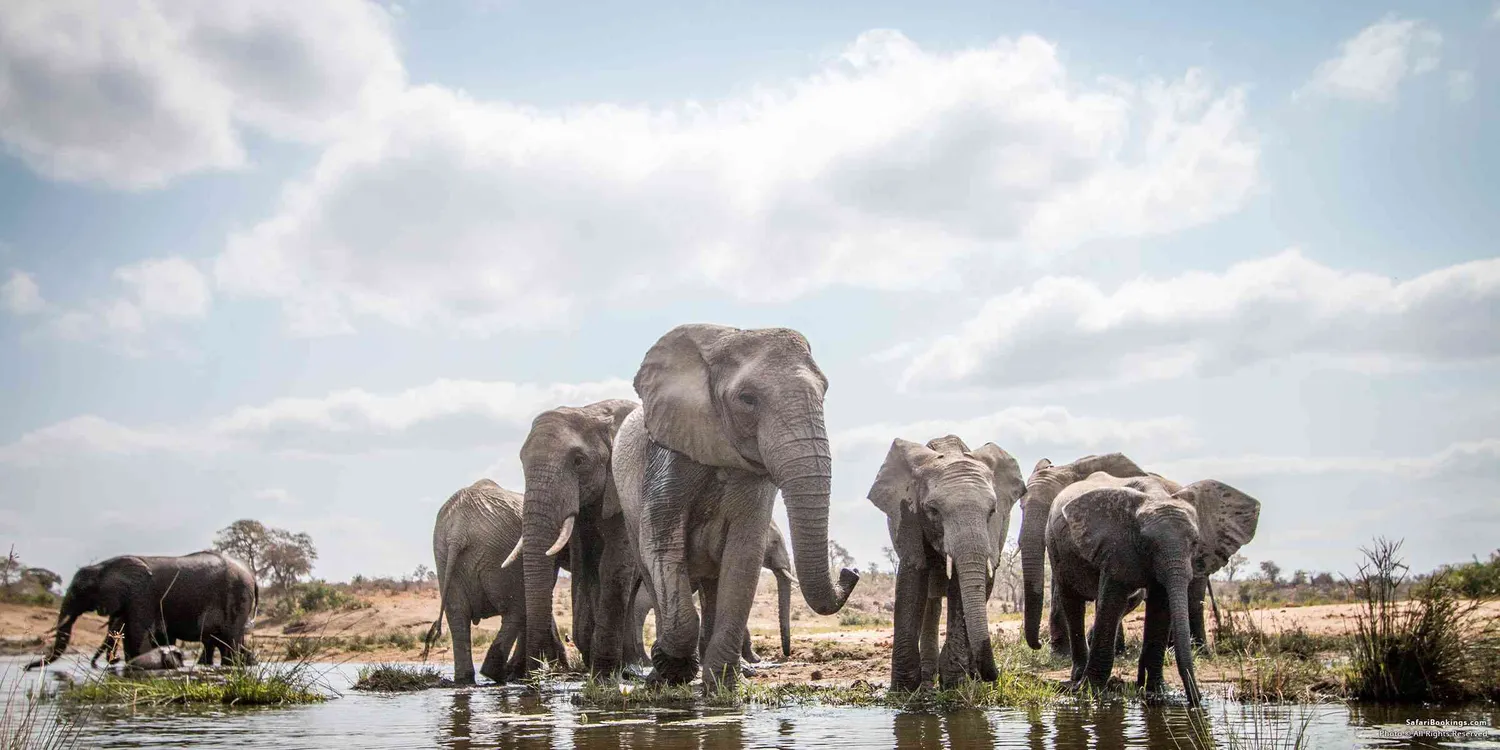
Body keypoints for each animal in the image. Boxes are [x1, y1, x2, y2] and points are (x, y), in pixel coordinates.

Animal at [26, 550, 257, 670]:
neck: (104, 567)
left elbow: (138, 635)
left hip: (237, 596)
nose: (27, 668)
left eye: (76, 592)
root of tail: (251, 576)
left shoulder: (141, 595)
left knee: (229, 641)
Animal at [422, 478, 558, 685]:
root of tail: (458, 529)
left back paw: (466, 679)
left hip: (443, 556)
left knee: (457, 615)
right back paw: (498, 675)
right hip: (499, 555)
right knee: (515, 609)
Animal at [502, 399, 640, 677]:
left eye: (578, 461)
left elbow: (613, 565)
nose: (535, 675)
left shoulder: (623, 488)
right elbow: (584, 566)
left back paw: (631, 667)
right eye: (521, 461)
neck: (594, 412)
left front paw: (604, 672)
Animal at [867, 435, 1025, 691]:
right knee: (931, 602)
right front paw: (902, 690)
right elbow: (912, 581)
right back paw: (928, 679)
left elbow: (963, 588)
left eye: (992, 511)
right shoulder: (908, 517)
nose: (995, 675)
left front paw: (955, 683)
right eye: (933, 511)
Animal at [1047, 471, 1260, 706]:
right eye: (1147, 543)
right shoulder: (1117, 546)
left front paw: (1155, 693)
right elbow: (1111, 602)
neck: (1156, 495)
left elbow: (1161, 606)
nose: (1196, 700)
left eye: (1195, 542)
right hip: (1056, 547)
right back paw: (1077, 677)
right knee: (1072, 602)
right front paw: (1091, 693)